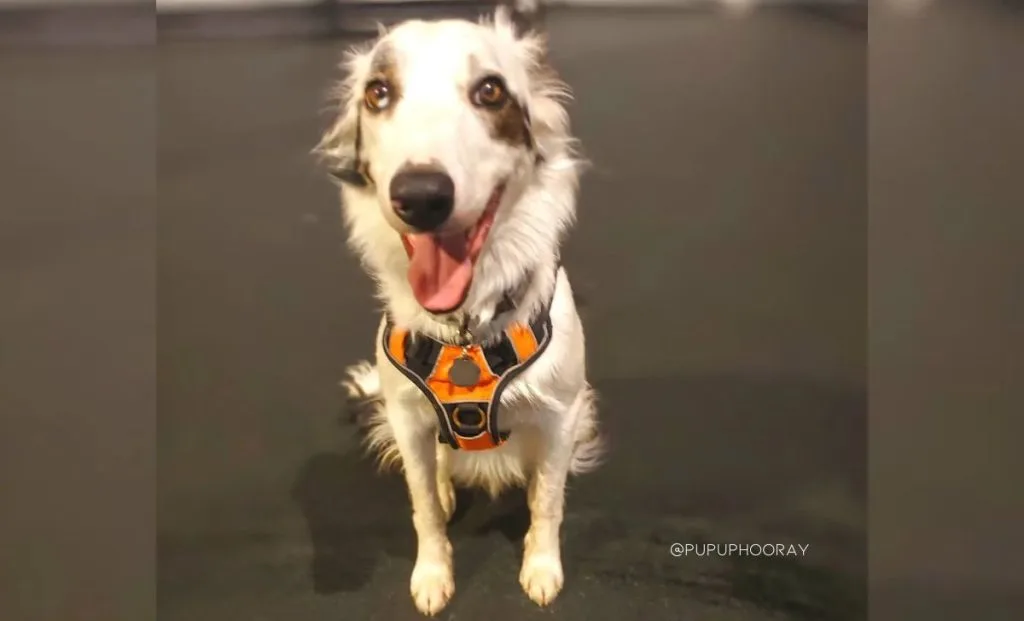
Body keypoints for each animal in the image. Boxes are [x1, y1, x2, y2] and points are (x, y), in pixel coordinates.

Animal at [317, 10, 598, 618]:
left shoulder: (562, 414)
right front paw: (432, 574)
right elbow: (423, 506)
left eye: (490, 91)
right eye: (378, 93)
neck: (466, 327)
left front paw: (542, 567)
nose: (421, 195)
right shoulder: (406, 418)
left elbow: (549, 502)